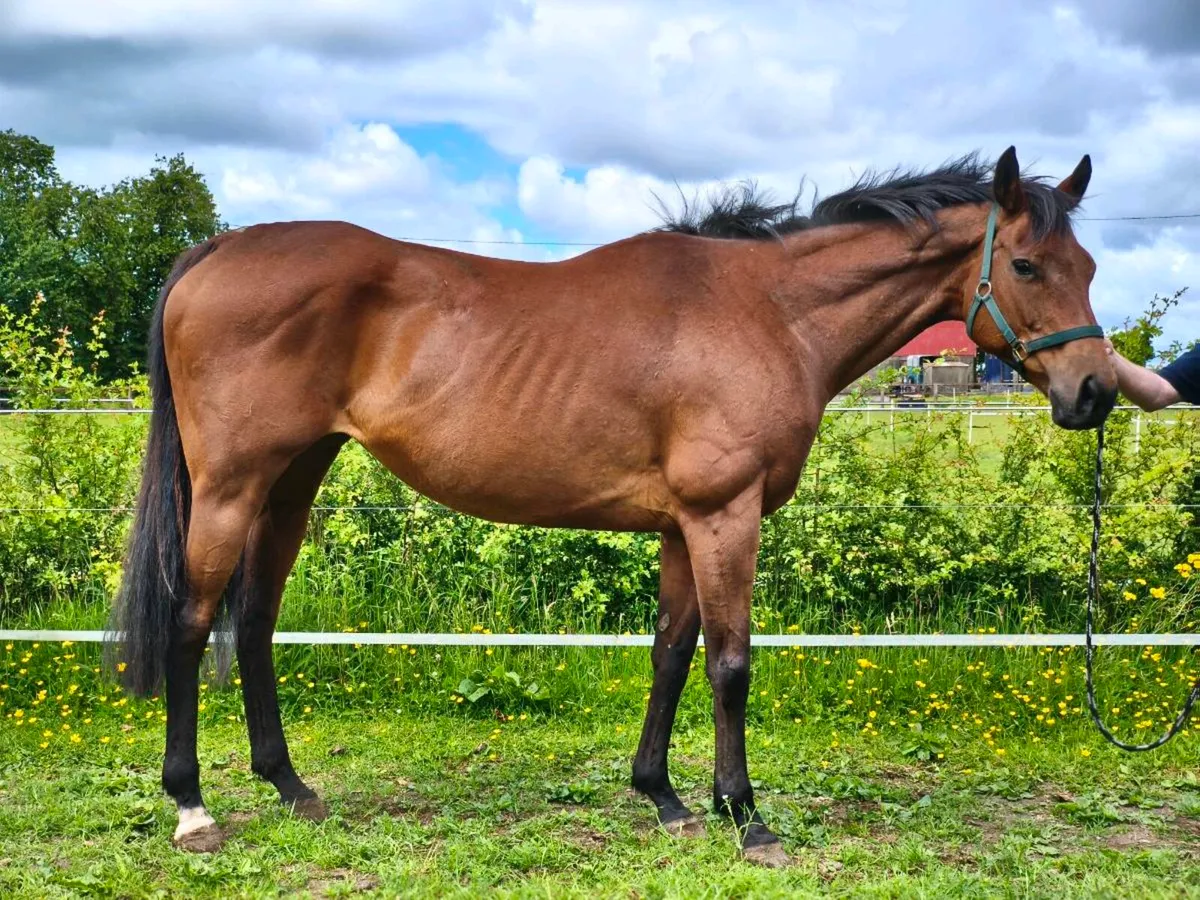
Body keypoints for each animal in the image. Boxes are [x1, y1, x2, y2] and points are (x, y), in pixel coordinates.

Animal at [104, 146, 1115, 865]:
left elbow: (671, 653)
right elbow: (729, 664)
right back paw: (192, 805)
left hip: (292, 482)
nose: (1095, 392)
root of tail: (220, 248)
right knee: (193, 623)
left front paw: (664, 796)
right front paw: (747, 817)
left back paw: (290, 787)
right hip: (231, 487)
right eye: (1028, 265)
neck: (769, 313)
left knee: (254, 622)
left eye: (1091, 263)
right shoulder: (724, 516)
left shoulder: (681, 527)